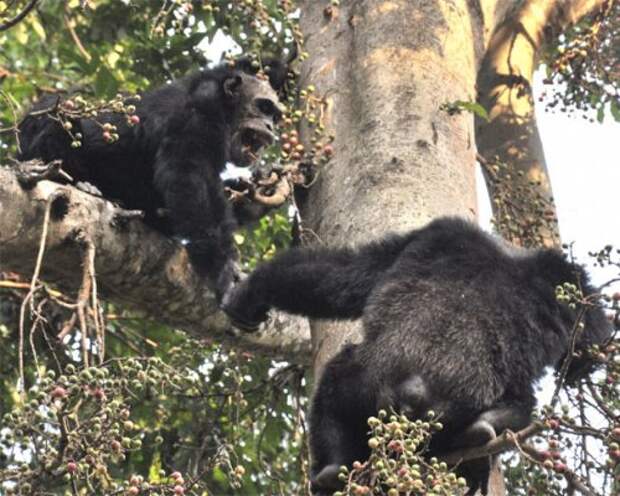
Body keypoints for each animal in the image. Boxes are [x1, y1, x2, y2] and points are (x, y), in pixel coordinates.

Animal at [17, 58, 288, 298]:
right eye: (264, 107)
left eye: (275, 116)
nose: (270, 126)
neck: (225, 111)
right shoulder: (198, 116)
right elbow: (189, 177)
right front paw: (223, 269)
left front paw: (255, 195)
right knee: (62, 111)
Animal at [223, 218, 612, 496]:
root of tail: (416, 390)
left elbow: (343, 275)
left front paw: (252, 291)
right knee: (521, 407)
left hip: (367, 388)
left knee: (334, 384)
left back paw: (332, 468)